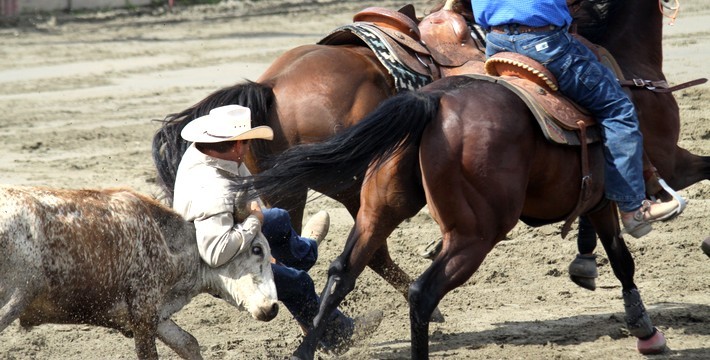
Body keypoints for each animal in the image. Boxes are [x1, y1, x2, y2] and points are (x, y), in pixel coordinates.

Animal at [229, 0, 710, 360]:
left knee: (340, 269)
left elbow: (612, 248)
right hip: (472, 231)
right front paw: (647, 323)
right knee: (417, 289)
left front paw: (587, 264)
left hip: (364, 203)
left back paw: (321, 341)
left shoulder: (598, 193)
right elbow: (628, 249)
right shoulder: (661, 167)